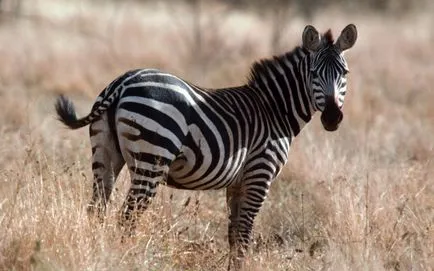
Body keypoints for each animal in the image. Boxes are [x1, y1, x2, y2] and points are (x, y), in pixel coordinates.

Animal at [55, 25, 356, 270]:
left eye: (345, 74)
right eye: (314, 73)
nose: (332, 118)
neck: (274, 109)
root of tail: (123, 82)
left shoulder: (237, 182)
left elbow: (234, 234)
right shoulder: (260, 173)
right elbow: (245, 233)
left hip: (104, 153)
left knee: (97, 210)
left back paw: (100, 253)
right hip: (152, 157)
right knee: (127, 217)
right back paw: (124, 259)